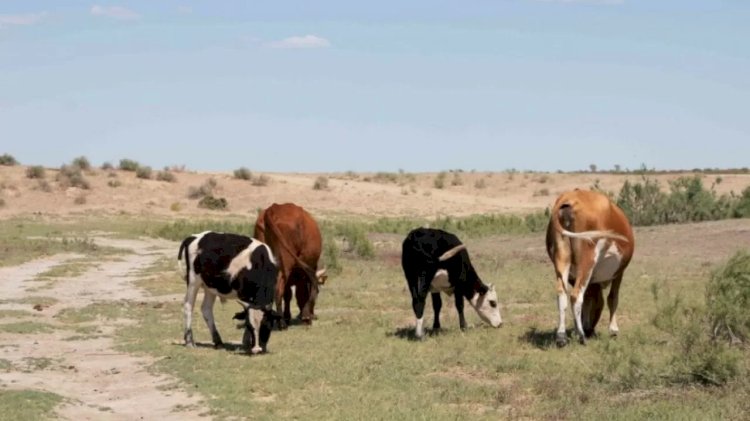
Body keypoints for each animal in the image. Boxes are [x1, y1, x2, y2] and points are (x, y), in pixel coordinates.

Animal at [548, 189, 636, 346]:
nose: (590, 330)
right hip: (587, 261)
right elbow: (612, 298)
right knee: (576, 295)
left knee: (561, 294)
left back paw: (561, 336)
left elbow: (587, 300)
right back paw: (581, 336)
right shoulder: (619, 273)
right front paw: (613, 329)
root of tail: (568, 199)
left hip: (561, 260)